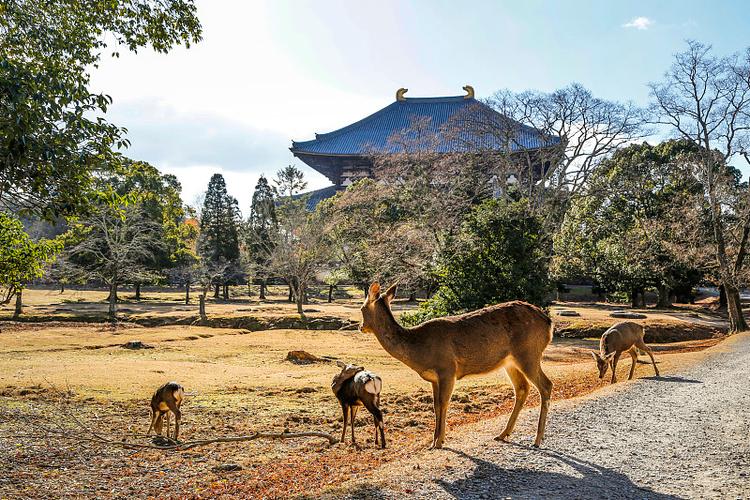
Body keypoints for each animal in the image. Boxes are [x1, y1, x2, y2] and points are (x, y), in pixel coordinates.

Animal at [359, 282, 553, 449]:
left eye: (362, 308)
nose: (361, 327)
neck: (420, 351)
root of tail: (549, 323)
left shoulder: (447, 369)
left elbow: (444, 403)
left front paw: (439, 442)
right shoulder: (434, 379)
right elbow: (436, 406)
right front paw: (434, 441)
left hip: (529, 353)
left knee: (546, 385)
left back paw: (537, 439)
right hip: (510, 362)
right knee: (522, 388)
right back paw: (503, 434)